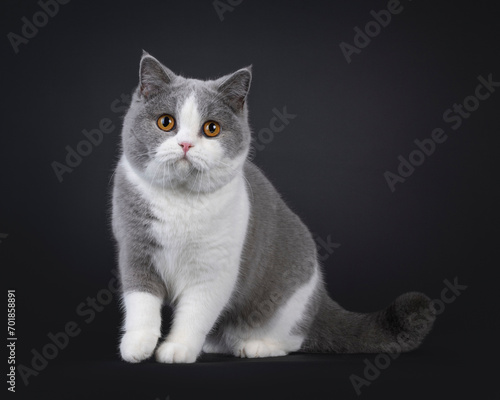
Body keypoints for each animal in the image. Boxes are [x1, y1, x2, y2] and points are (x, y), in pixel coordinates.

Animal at [112, 50, 434, 362]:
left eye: (211, 128)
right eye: (166, 122)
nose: (186, 144)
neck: (181, 201)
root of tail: (319, 297)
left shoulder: (213, 271)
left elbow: (195, 313)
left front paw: (177, 349)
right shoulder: (135, 251)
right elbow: (140, 302)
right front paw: (138, 344)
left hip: (287, 300)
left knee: (293, 339)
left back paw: (255, 346)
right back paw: (215, 345)